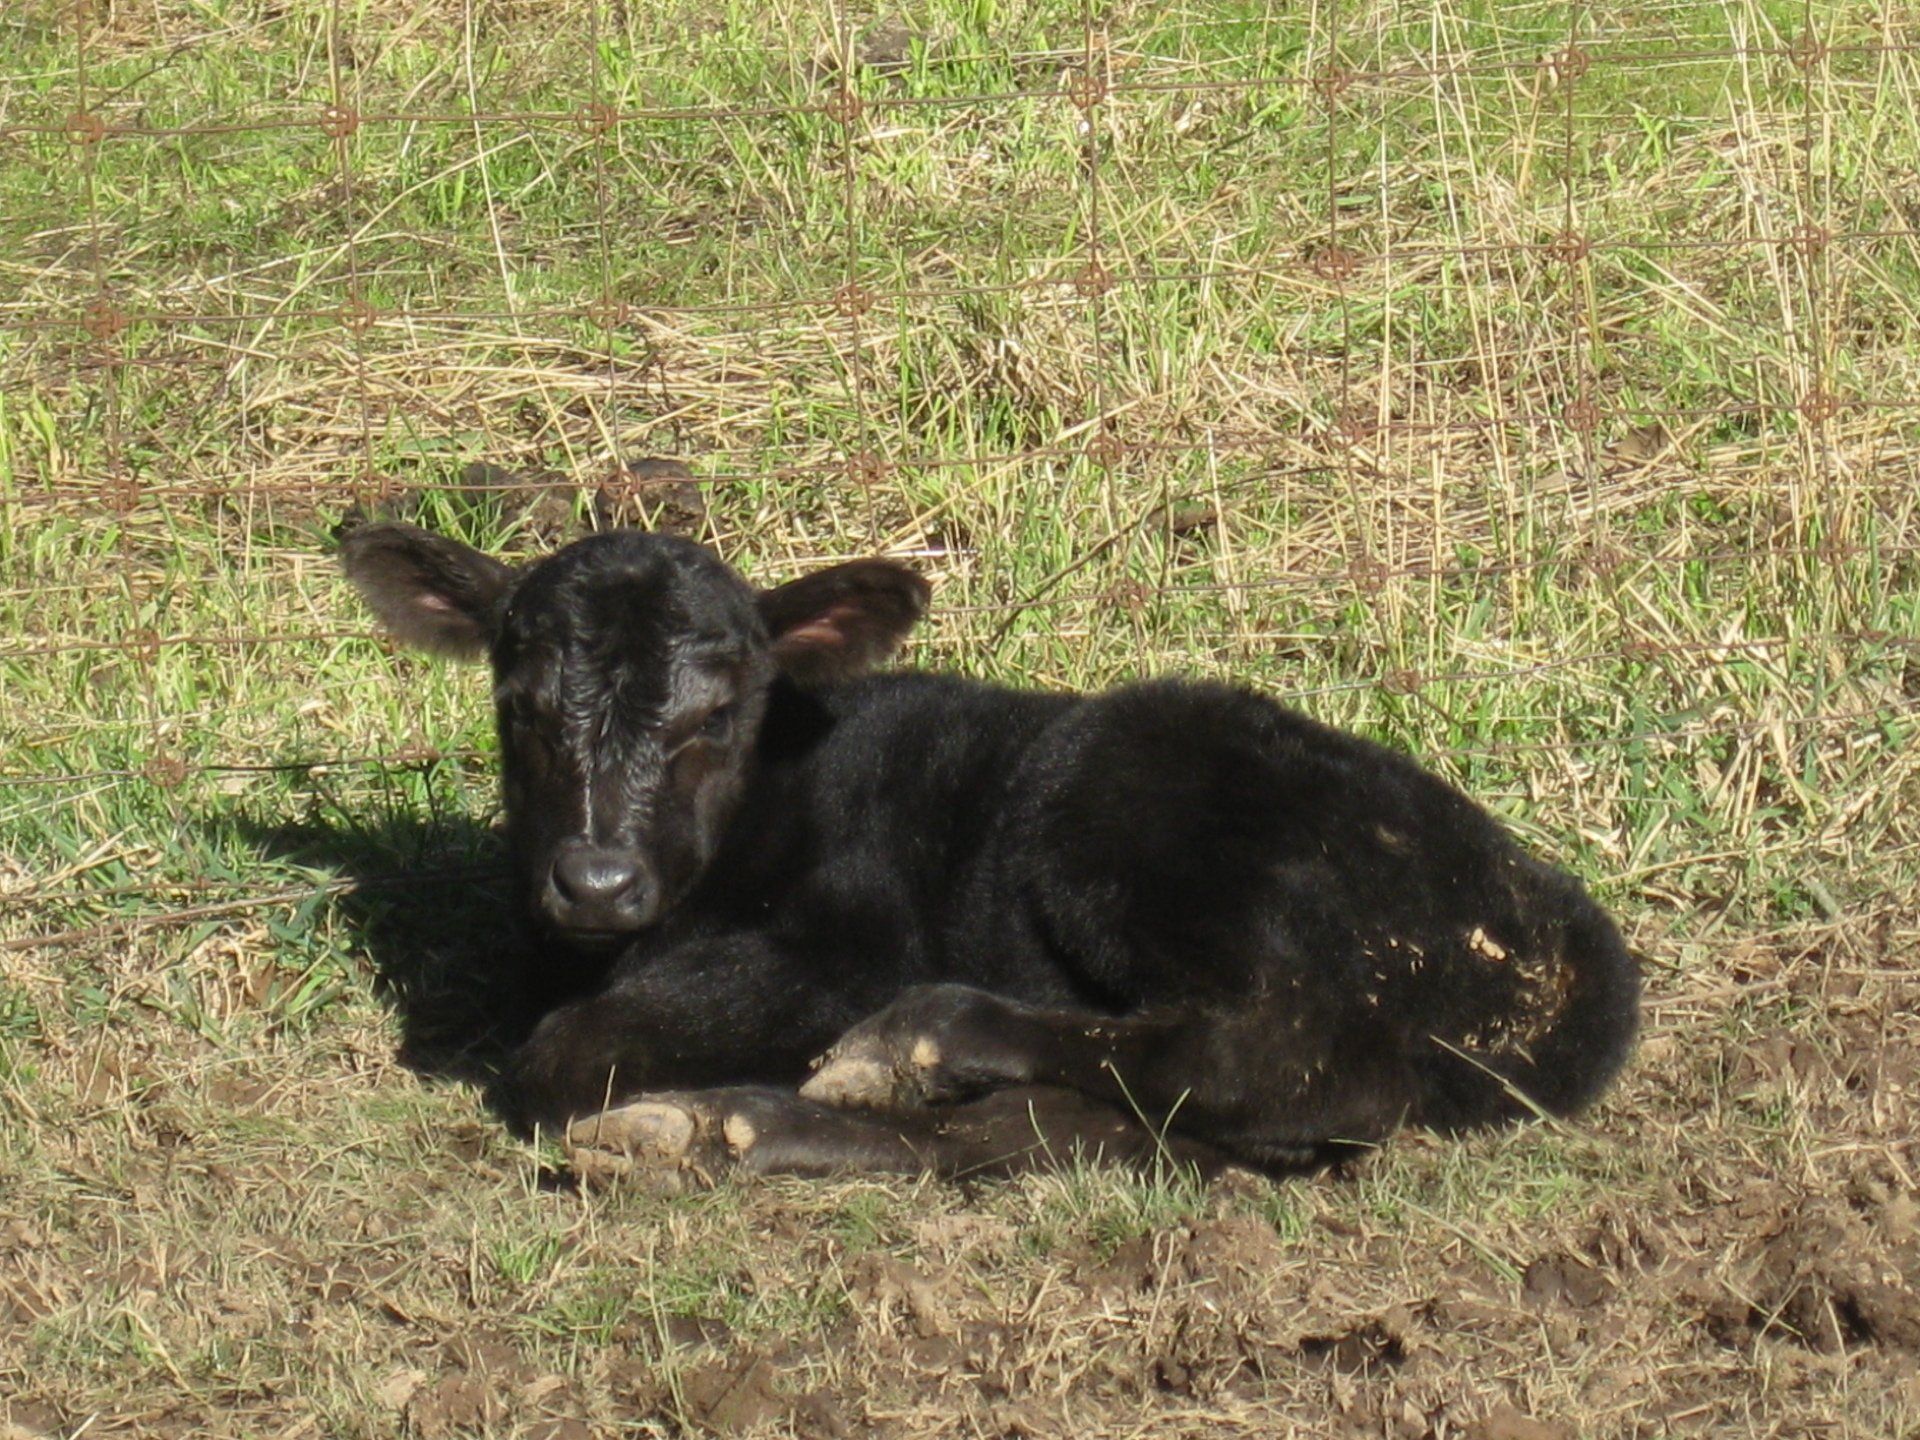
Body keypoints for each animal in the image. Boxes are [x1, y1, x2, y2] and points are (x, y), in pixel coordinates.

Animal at [341, 521, 1639, 1182]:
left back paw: (915, 1044)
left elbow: (562, 1055)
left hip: (1125, 799)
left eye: (714, 715)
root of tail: (1568, 939)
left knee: (1296, 1057)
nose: (596, 881)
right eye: (520, 705)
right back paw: (739, 1125)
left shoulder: (841, 948)